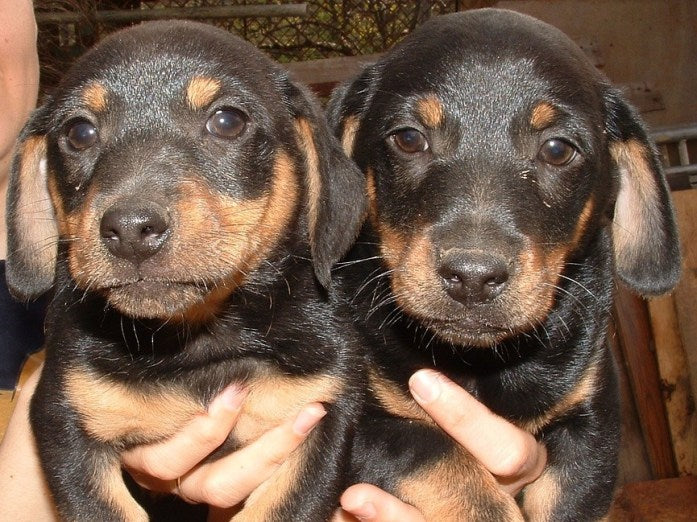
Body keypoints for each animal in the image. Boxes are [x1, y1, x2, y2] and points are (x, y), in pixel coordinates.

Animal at [8, 18, 368, 516]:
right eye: (79, 132)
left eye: (227, 121)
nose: (130, 229)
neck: (197, 340)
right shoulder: (65, 417)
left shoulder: (321, 412)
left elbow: (285, 506)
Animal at [330, 8, 680, 520]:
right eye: (409, 139)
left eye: (557, 149)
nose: (472, 278)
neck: (480, 363)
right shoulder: (354, 423)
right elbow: (453, 469)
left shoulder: (590, 429)